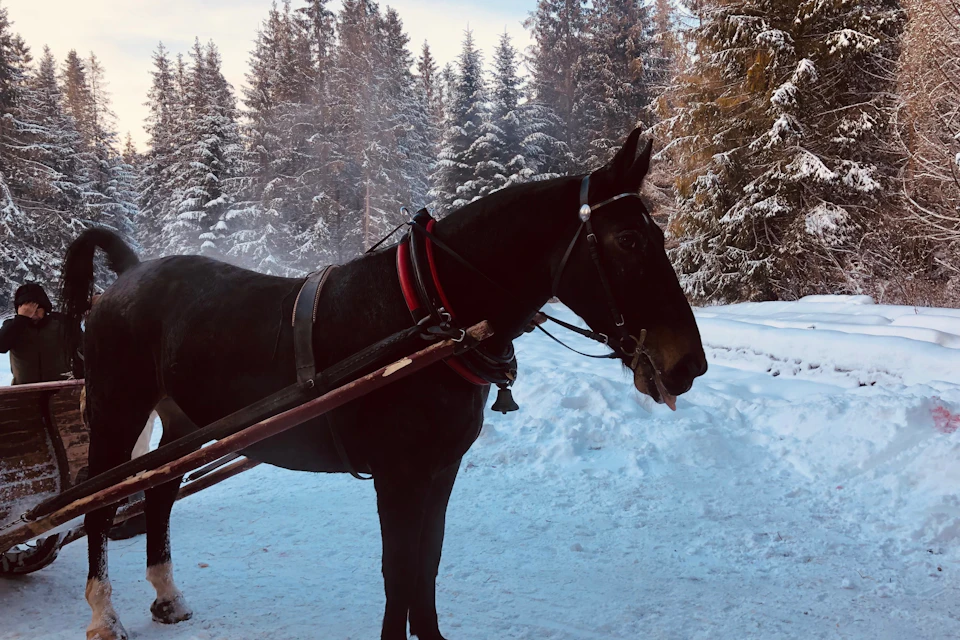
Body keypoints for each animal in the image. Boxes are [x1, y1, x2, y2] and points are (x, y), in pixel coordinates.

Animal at [59, 128, 706, 640]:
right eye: (628, 240)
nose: (688, 365)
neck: (429, 310)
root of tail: (129, 275)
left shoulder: (439, 470)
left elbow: (426, 567)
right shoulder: (398, 474)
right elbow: (399, 573)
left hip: (182, 422)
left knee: (158, 495)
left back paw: (167, 596)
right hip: (117, 414)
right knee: (98, 509)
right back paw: (102, 616)